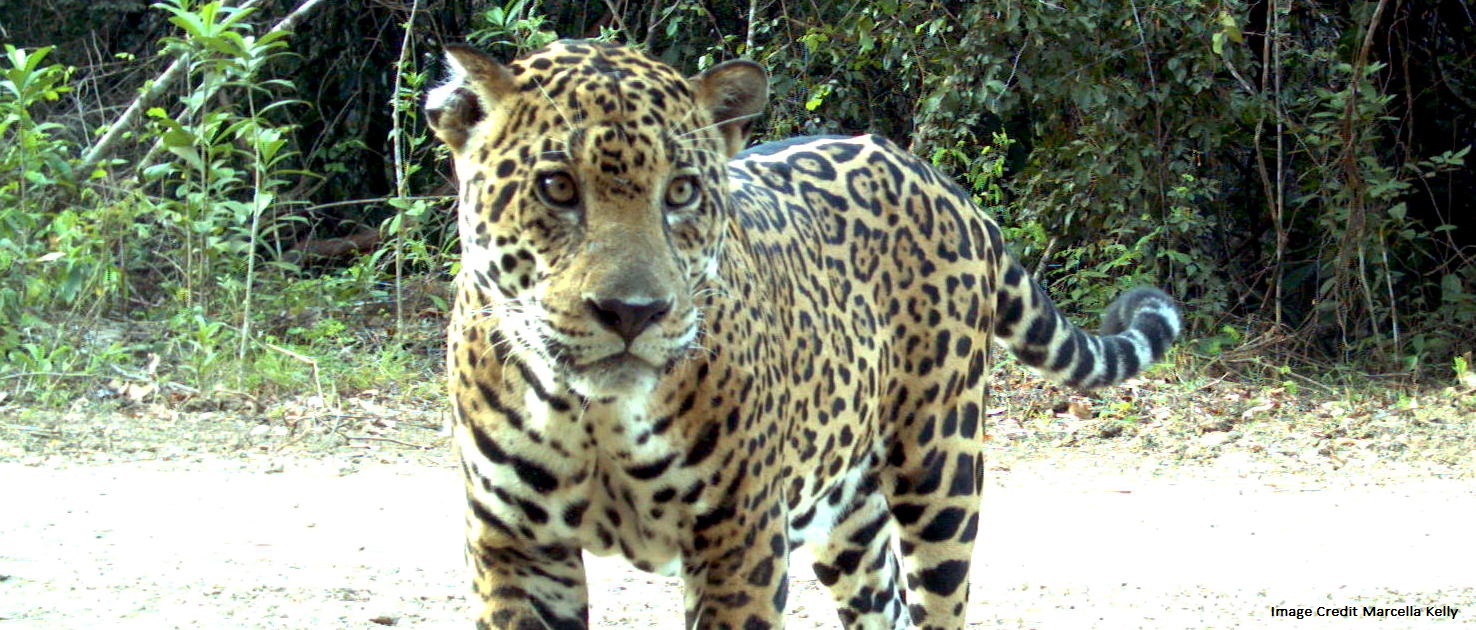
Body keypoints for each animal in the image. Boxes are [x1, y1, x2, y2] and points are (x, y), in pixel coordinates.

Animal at [425, 40, 1180, 630]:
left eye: (681, 193)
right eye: (555, 187)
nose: (633, 312)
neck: (597, 419)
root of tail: (942, 181)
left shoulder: (739, 545)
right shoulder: (514, 550)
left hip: (941, 468)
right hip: (846, 507)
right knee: (884, 608)